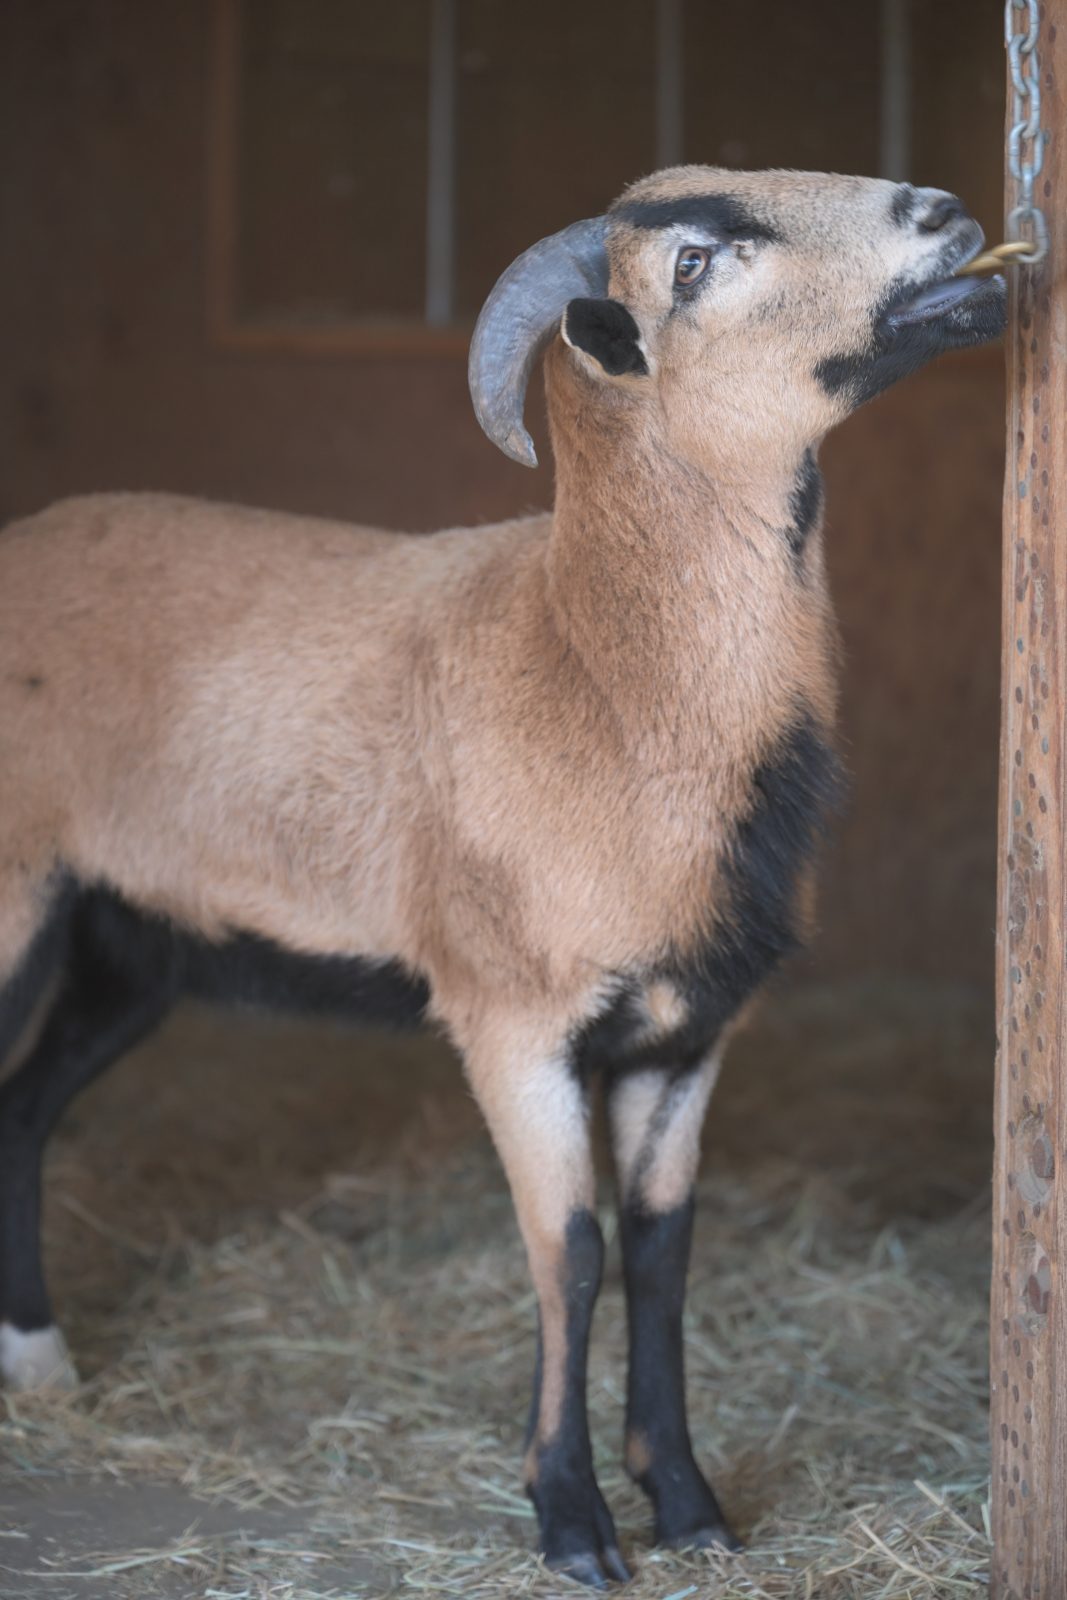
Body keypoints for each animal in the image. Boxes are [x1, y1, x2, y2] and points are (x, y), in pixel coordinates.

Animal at [0, 168, 1004, 1580]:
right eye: (691, 262)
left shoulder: (682, 1033)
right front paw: (573, 1525)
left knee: (24, 1108)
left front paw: (688, 1508)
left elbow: (660, 1248)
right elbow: (567, 1252)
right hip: (20, 895)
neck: (594, 676)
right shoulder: (510, 1019)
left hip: (128, 943)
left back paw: (39, 1359)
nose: (937, 209)